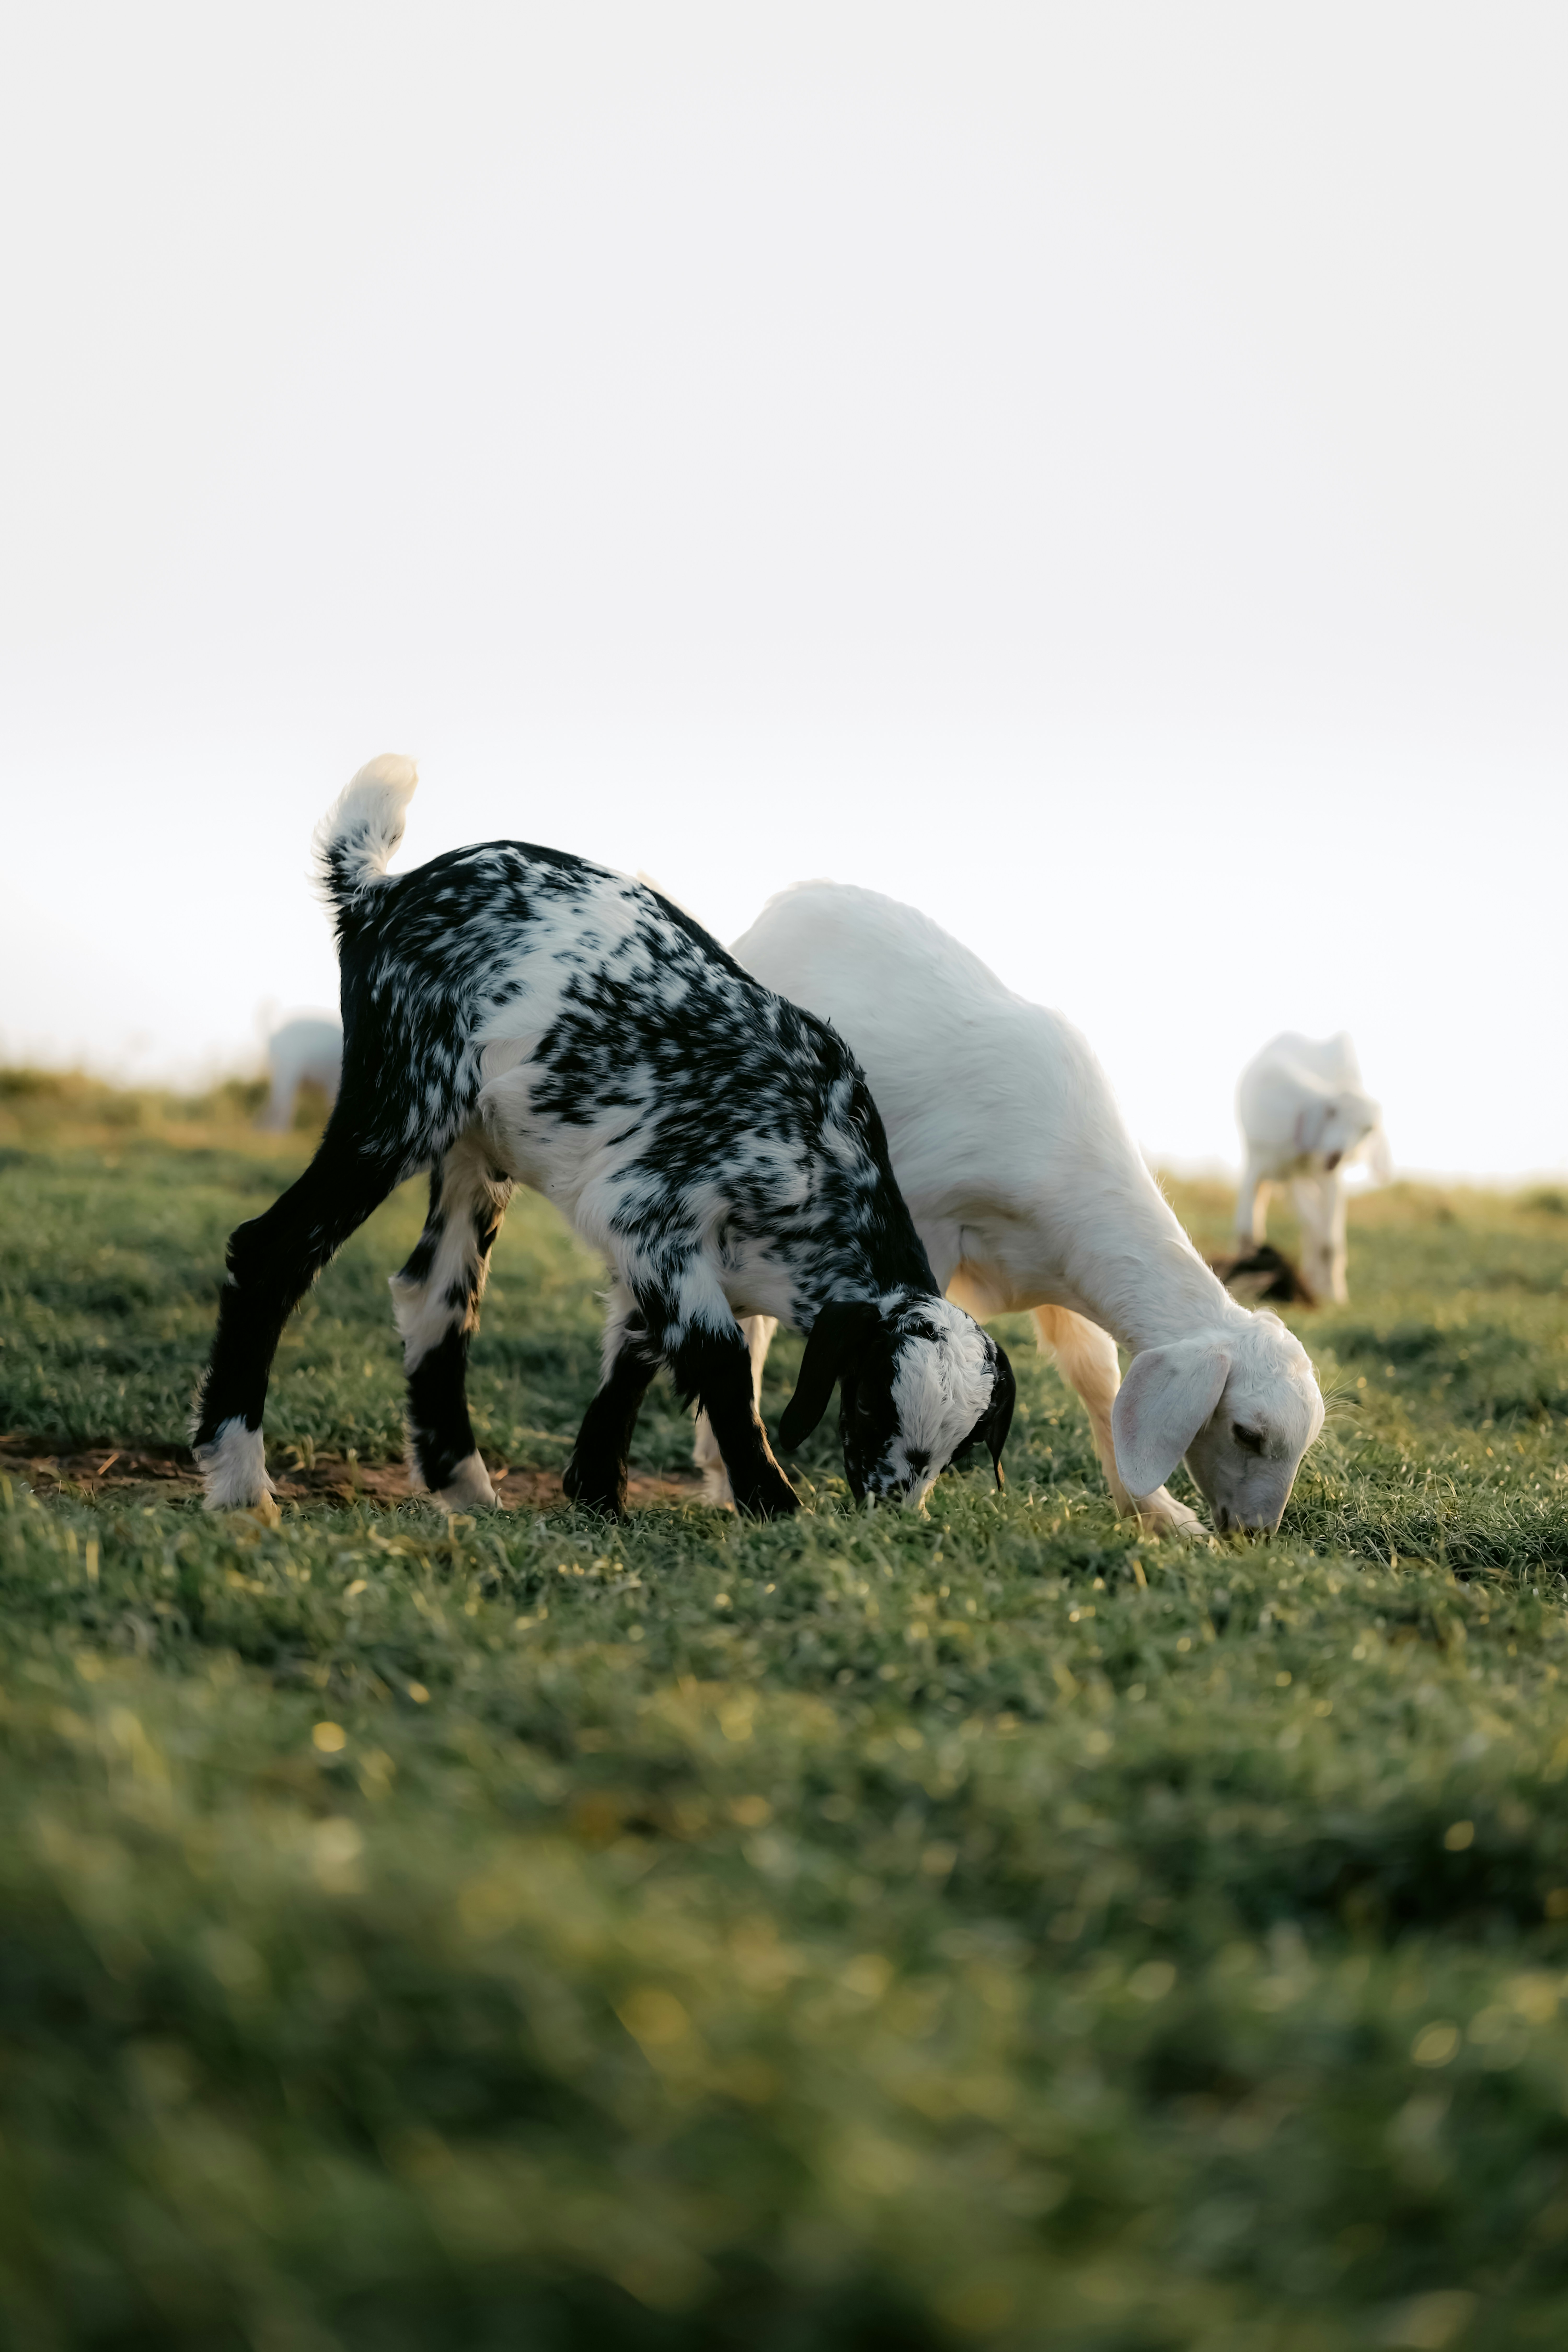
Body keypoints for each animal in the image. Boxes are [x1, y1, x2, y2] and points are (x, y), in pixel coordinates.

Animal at [695, 882, 1326, 1537]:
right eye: (1247, 1433)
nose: (1257, 1534)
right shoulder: (927, 1228)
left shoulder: (1061, 1268)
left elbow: (1098, 1377)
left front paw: (1156, 1514)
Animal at [1236, 1032, 1391, 1305]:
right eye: (1332, 1113)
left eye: (1369, 1129)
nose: (1338, 1154)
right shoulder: (1279, 1170)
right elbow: (1252, 1230)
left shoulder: (1326, 1176)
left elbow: (1329, 1242)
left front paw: (1335, 1295)